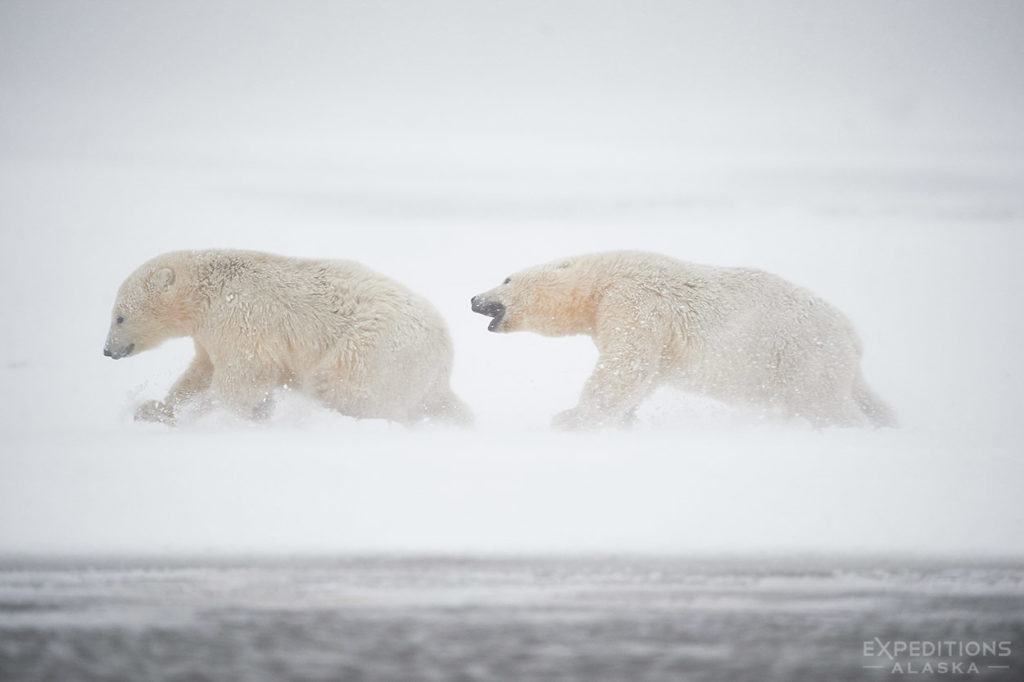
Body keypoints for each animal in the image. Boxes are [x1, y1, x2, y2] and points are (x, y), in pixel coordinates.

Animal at [103, 246, 471, 421]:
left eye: (119, 316)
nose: (107, 350)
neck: (209, 289)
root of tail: (444, 361)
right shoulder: (209, 332)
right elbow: (201, 371)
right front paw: (155, 408)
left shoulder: (239, 316)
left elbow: (243, 377)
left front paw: (194, 414)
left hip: (371, 350)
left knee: (345, 388)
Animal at [473, 251, 897, 428]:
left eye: (506, 278)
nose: (474, 299)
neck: (602, 280)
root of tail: (851, 335)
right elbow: (642, 376)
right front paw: (624, 419)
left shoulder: (635, 301)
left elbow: (625, 365)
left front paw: (571, 418)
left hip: (801, 354)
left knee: (824, 402)